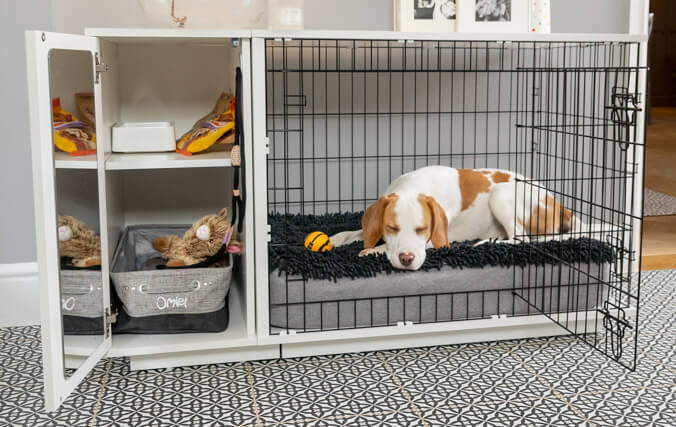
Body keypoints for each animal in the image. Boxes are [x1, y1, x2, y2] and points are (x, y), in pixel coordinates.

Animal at [330, 166, 572, 270]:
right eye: (391, 228)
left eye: (423, 229)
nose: (407, 259)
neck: (412, 187)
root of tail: (557, 204)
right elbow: (350, 233)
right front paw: (334, 240)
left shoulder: (433, 241)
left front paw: (372, 251)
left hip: (500, 193)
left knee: (521, 239)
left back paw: (487, 242)